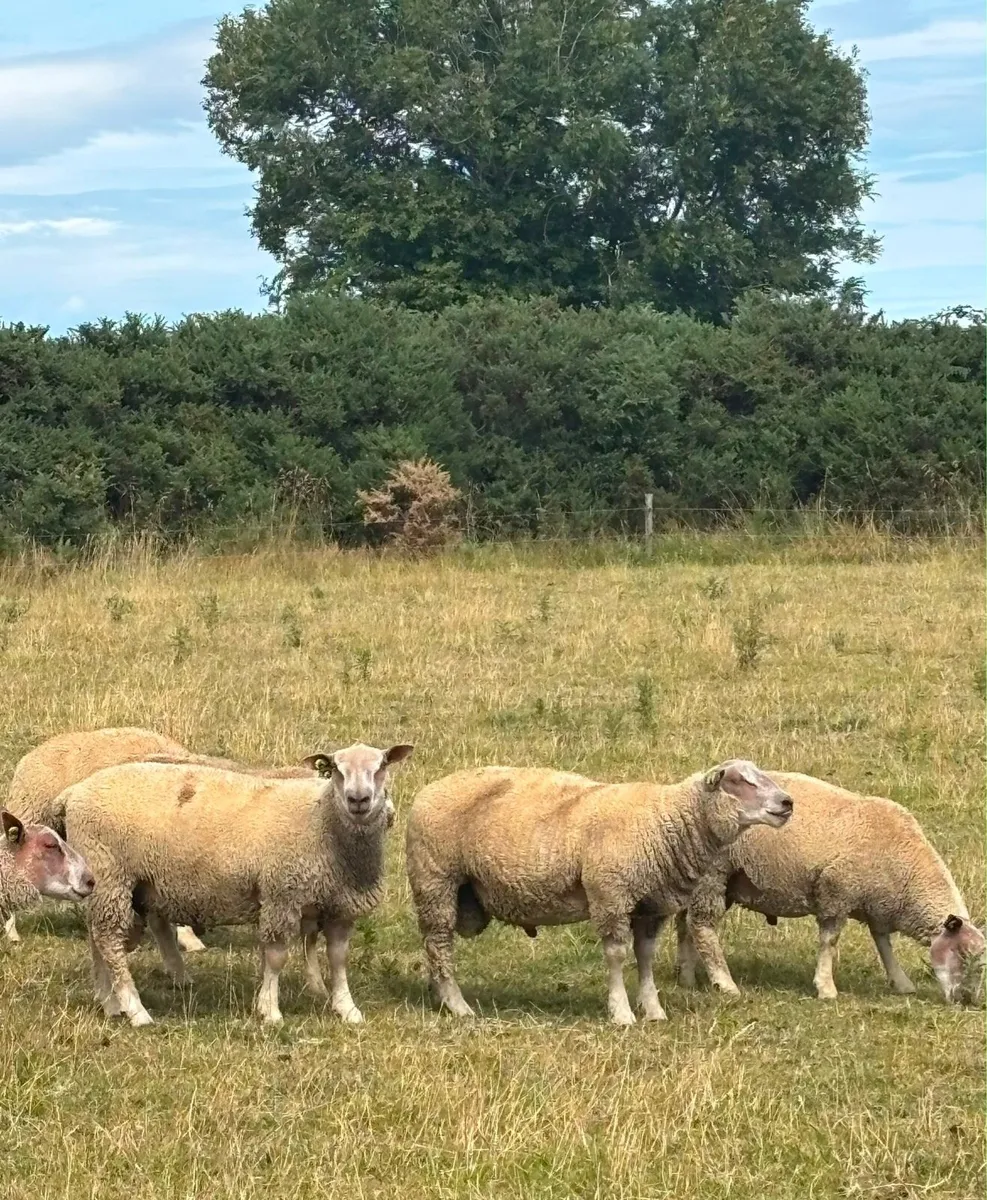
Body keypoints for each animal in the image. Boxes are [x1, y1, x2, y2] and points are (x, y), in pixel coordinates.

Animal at [64, 742, 413, 1028]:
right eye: (337, 770)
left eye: (381, 766)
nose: (358, 799)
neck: (322, 820)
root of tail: (74, 792)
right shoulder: (281, 894)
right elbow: (276, 957)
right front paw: (270, 1011)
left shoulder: (341, 906)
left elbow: (338, 959)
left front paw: (346, 1008)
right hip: (110, 872)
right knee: (110, 942)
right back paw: (136, 1011)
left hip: (114, 885)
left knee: (99, 941)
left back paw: (110, 1004)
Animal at [405, 759, 793, 1025]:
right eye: (739, 781)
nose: (787, 802)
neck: (663, 821)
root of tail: (428, 790)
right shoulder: (611, 894)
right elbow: (617, 956)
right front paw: (621, 1012)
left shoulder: (652, 906)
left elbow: (645, 956)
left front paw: (653, 1009)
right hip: (436, 880)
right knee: (439, 942)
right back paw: (458, 1006)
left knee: (434, 947)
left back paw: (439, 996)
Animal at [675, 771, 986, 1003]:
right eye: (962, 954)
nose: (967, 1000)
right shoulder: (836, 893)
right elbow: (830, 941)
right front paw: (826, 987)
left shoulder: (877, 904)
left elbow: (883, 943)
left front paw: (900, 981)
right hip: (714, 875)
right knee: (702, 926)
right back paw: (724, 983)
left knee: (685, 924)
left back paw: (686, 977)